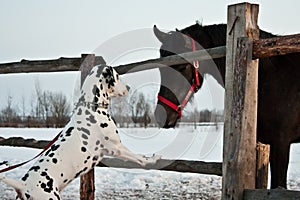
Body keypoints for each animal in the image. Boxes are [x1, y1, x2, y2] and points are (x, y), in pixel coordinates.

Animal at [0, 65, 161, 199]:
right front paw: (153, 158)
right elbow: (140, 158)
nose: (128, 87)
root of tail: (23, 186)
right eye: (117, 76)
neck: (92, 107)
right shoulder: (117, 148)